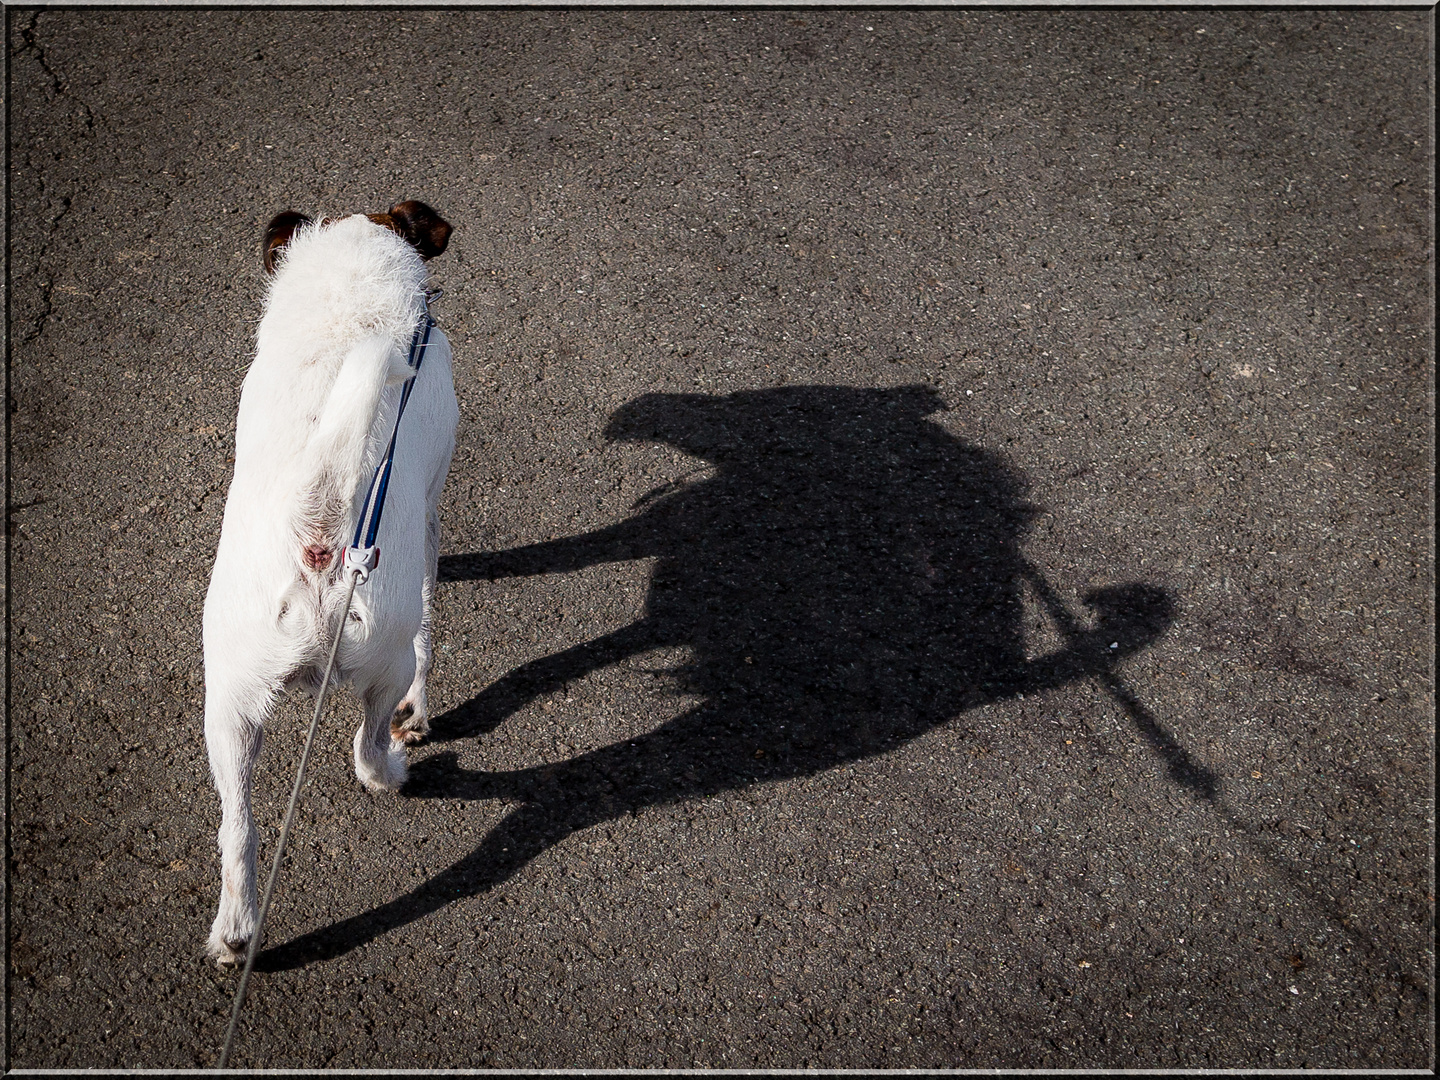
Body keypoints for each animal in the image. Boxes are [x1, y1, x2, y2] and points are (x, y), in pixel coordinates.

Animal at [203, 201, 455, 961]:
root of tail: (316, 533)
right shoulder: (431, 507)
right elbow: (433, 610)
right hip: (383, 664)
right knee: (366, 748)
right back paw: (395, 767)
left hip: (228, 709)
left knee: (238, 829)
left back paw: (236, 933)